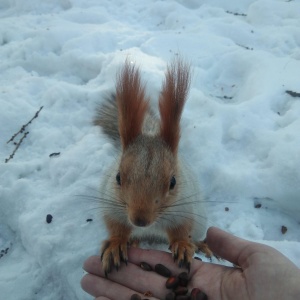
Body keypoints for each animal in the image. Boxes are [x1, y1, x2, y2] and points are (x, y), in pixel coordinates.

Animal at [95, 57, 210, 276]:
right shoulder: (111, 205)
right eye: (118, 177)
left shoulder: (184, 208)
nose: (140, 220)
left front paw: (183, 246)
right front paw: (115, 245)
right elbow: (115, 226)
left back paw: (202, 245)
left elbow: (182, 230)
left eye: (173, 182)